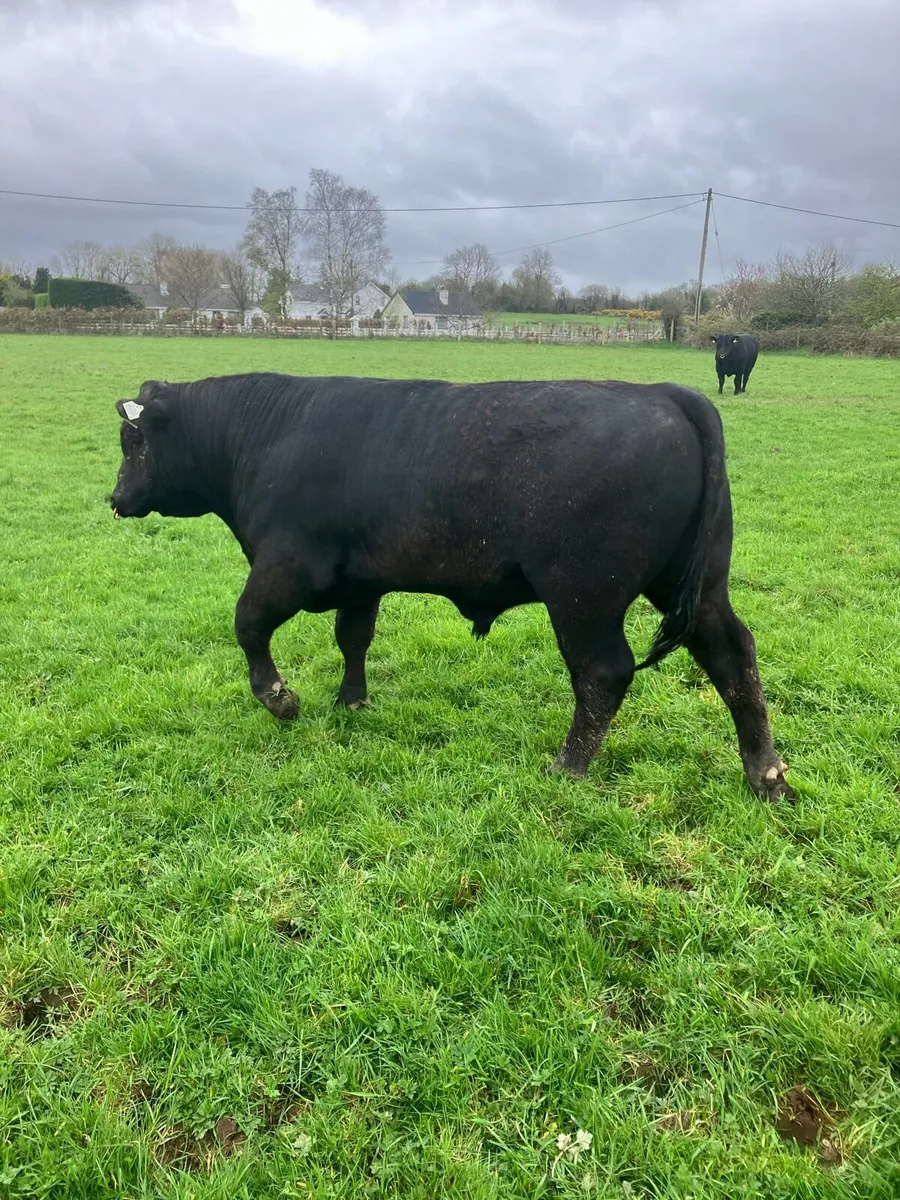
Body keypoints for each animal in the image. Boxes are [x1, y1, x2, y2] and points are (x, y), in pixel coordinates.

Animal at [109, 373, 793, 802]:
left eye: (135, 440)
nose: (115, 499)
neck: (267, 435)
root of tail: (666, 393)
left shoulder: (286, 565)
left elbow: (248, 623)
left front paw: (280, 698)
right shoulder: (360, 581)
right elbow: (352, 639)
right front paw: (351, 701)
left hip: (582, 596)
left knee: (603, 673)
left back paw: (569, 766)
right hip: (698, 587)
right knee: (733, 657)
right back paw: (766, 774)